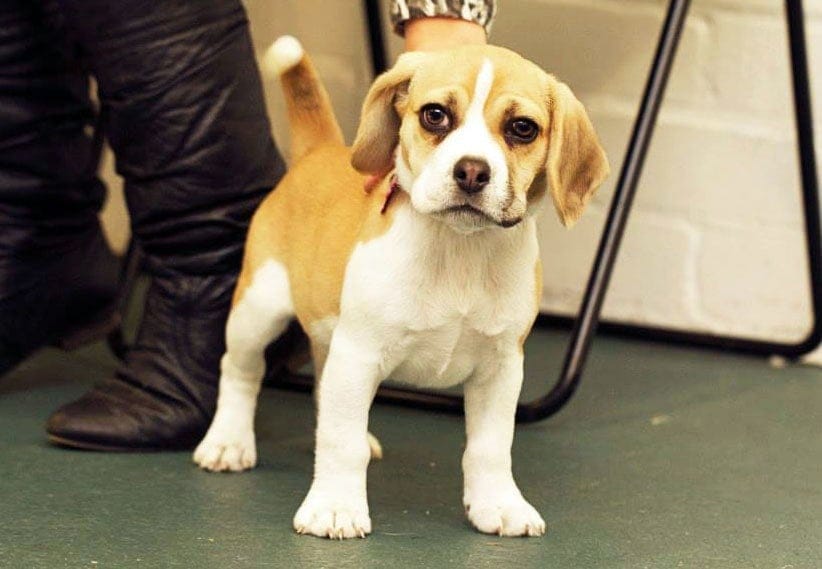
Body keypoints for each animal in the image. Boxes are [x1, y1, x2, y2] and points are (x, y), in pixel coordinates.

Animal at [192, 33, 604, 540]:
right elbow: (341, 441)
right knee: (240, 370)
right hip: (258, 312)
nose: (471, 171)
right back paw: (228, 441)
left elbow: (491, 447)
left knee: (321, 388)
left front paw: (499, 504)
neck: (459, 250)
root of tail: (317, 152)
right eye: (435, 115)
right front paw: (335, 506)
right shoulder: (360, 352)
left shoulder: (501, 367)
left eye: (522, 128)